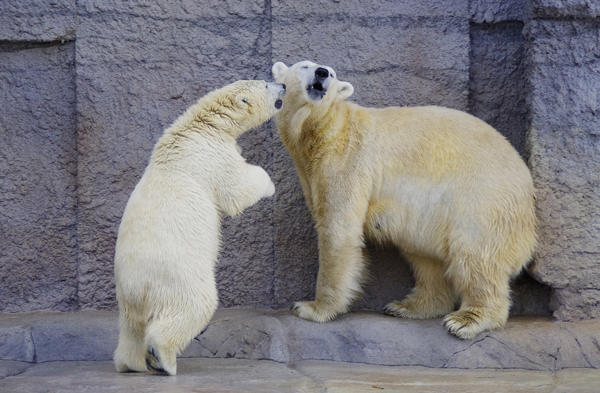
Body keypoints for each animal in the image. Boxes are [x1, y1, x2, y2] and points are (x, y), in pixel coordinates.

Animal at [113, 79, 288, 374]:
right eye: (266, 84)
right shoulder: (210, 155)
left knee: (131, 330)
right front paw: (268, 182)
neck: (202, 125)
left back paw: (131, 363)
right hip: (176, 276)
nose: (284, 85)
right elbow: (236, 188)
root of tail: (136, 289)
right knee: (194, 306)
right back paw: (163, 358)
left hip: (128, 299)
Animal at [272, 59, 536, 338]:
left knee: (474, 251)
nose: (322, 72)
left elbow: (338, 229)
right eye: (304, 66)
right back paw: (408, 306)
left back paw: (467, 319)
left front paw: (311, 308)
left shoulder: (347, 160)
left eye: (332, 73)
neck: (323, 128)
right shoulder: (311, 170)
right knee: (425, 257)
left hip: (484, 197)